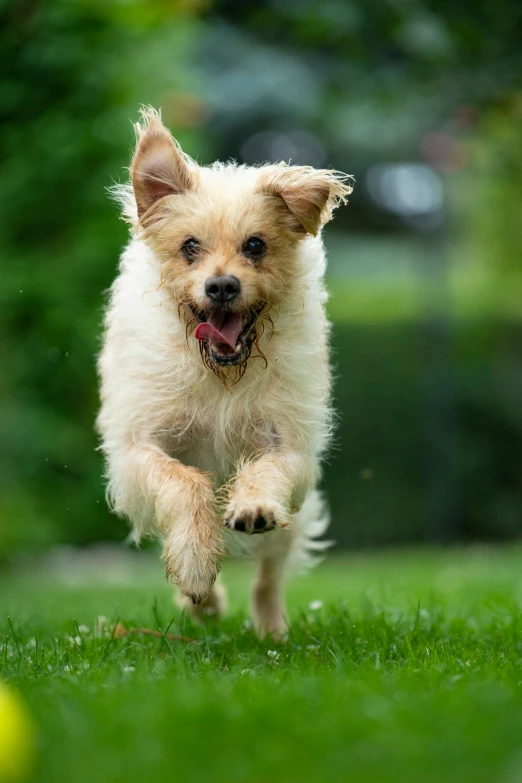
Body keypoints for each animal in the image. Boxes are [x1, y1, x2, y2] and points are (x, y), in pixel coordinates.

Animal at [96, 108, 352, 636]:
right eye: (189, 246)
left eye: (255, 245)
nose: (221, 286)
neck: (220, 375)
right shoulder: (136, 453)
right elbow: (184, 483)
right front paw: (196, 564)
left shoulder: (290, 446)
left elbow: (268, 470)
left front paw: (251, 505)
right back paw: (202, 602)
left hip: (290, 526)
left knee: (268, 576)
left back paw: (272, 629)